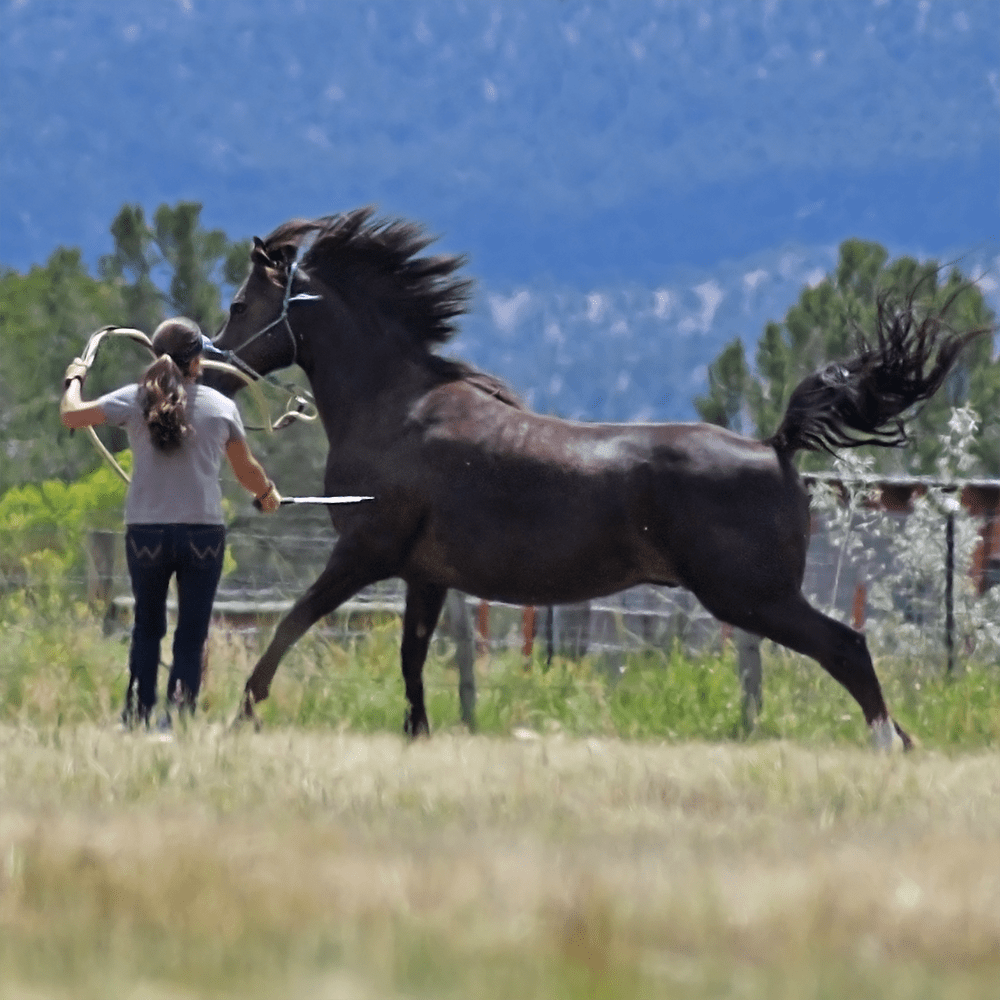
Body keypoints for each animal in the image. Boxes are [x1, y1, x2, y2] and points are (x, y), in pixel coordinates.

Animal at [205, 205, 992, 752]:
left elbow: (293, 622)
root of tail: (775, 448)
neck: (397, 409)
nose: (209, 369)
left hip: (752, 596)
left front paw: (242, 715)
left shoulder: (364, 552)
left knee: (846, 647)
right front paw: (418, 737)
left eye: (240, 305)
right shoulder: (424, 573)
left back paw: (888, 743)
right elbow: (412, 658)